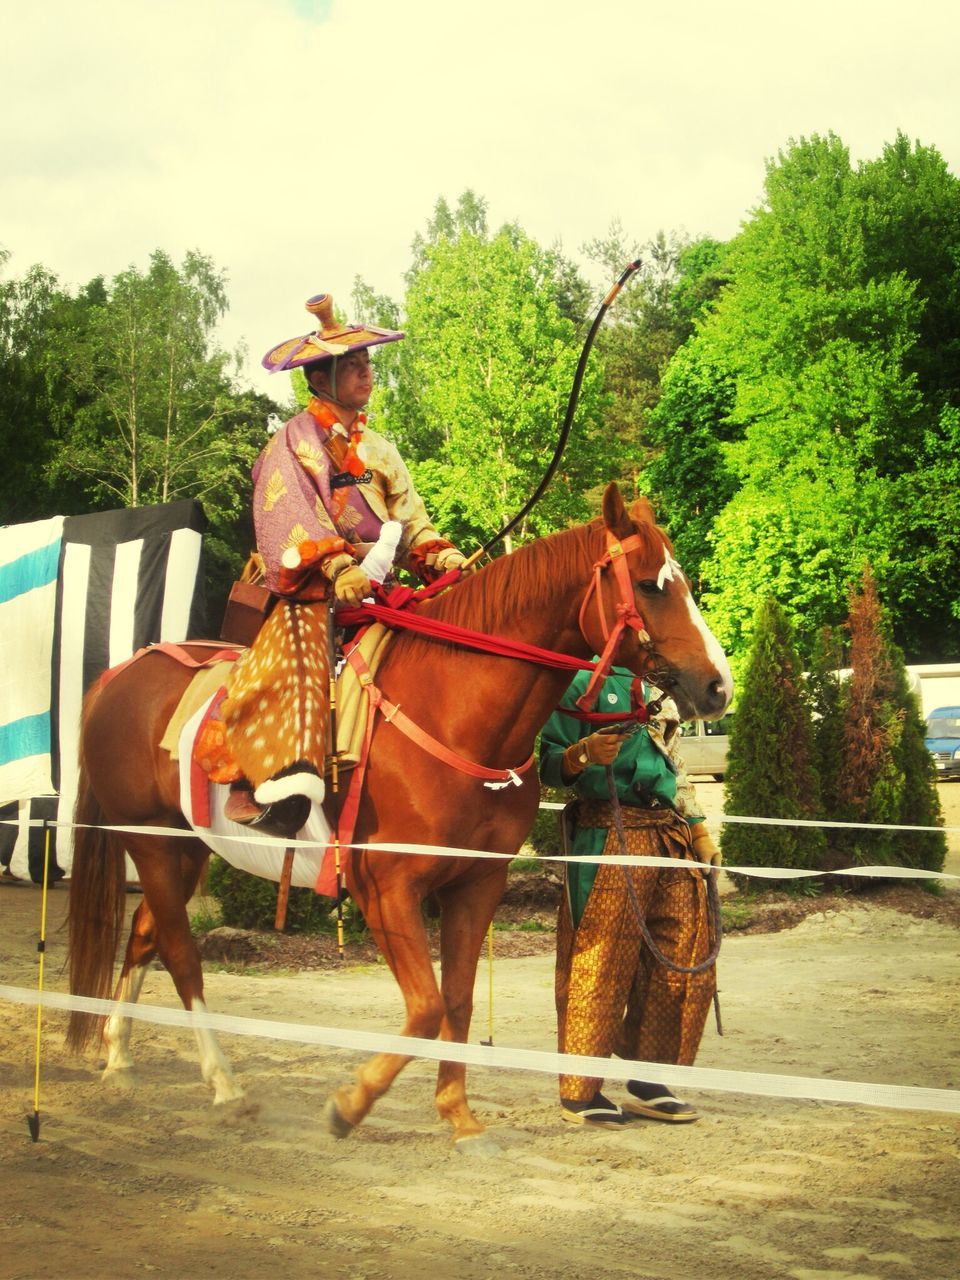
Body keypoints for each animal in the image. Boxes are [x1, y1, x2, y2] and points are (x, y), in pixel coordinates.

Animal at [67, 483, 732, 1146]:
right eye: (649, 584)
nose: (719, 686)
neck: (452, 709)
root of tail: (117, 675)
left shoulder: (478, 882)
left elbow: (457, 1000)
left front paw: (457, 1113)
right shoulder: (386, 886)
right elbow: (427, 1006)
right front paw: (351, 1103)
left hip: (187, 846)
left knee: (145, 935)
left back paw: (119, 1057)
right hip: (150, 839)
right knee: (181, 953)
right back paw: (224, 1084)